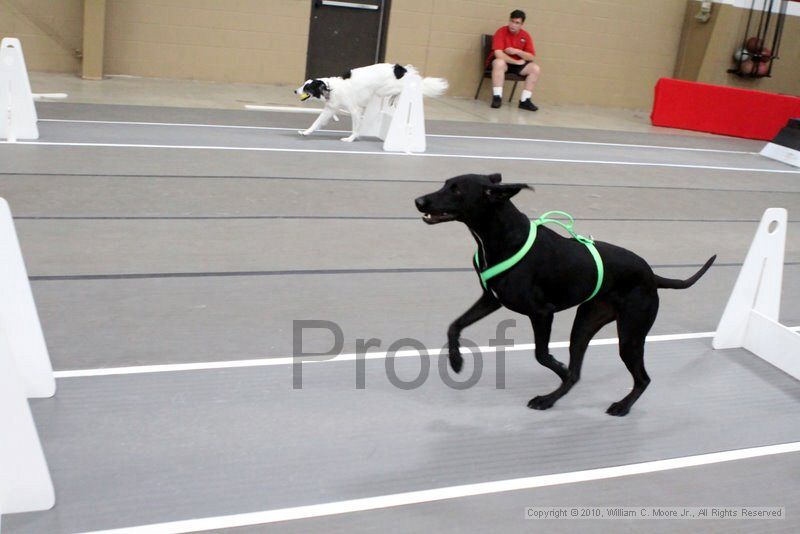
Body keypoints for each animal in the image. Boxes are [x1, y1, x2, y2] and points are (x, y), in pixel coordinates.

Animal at [294, 63, 446, 142]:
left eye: (307, 88)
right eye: (304, 85)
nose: (295, 91)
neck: (330, 88)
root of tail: (400, 68)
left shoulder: (355, 110)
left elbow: (356, 128)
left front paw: (350, 139)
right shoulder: (329, 109)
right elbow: (316, 123)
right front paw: (306, 132)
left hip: (385, 89)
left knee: (402, 89)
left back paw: (395, 97)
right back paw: (393, 99)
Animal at [416, 174, 716, 416]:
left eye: (456, 190)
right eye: (445, 184)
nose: (419, 200)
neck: (499, 236)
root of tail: (652, 276)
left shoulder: (541, 312)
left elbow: (541, 354)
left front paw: (559, 367)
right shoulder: (492, 299)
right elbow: (454, 326)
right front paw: (456, 361)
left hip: (631, 333)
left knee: (642, 378)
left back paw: (621, 406)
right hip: (585, 324)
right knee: (578, 373)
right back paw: (548, 400)